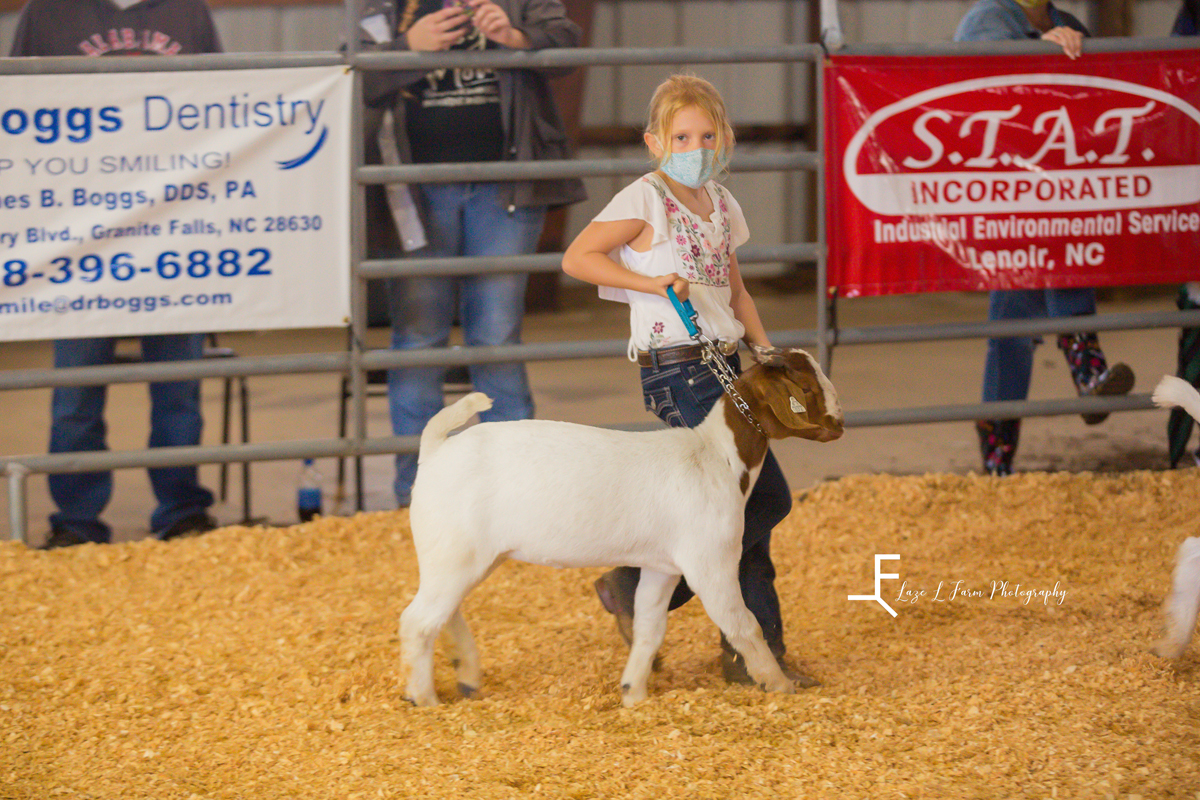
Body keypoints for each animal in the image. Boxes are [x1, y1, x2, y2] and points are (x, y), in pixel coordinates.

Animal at [398, 347, 840, 705]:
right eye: (805, 386)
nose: (838, 424)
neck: (718, 456)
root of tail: (435, 449)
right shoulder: (710, 563)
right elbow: (743, 624)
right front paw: (778, 683)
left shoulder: (663, 567)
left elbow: (649, 627)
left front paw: (634, 692)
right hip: (455, 552)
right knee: (418, 621)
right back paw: (423, 697)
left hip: (465, 557)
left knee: (443, 612)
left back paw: (467, 675)